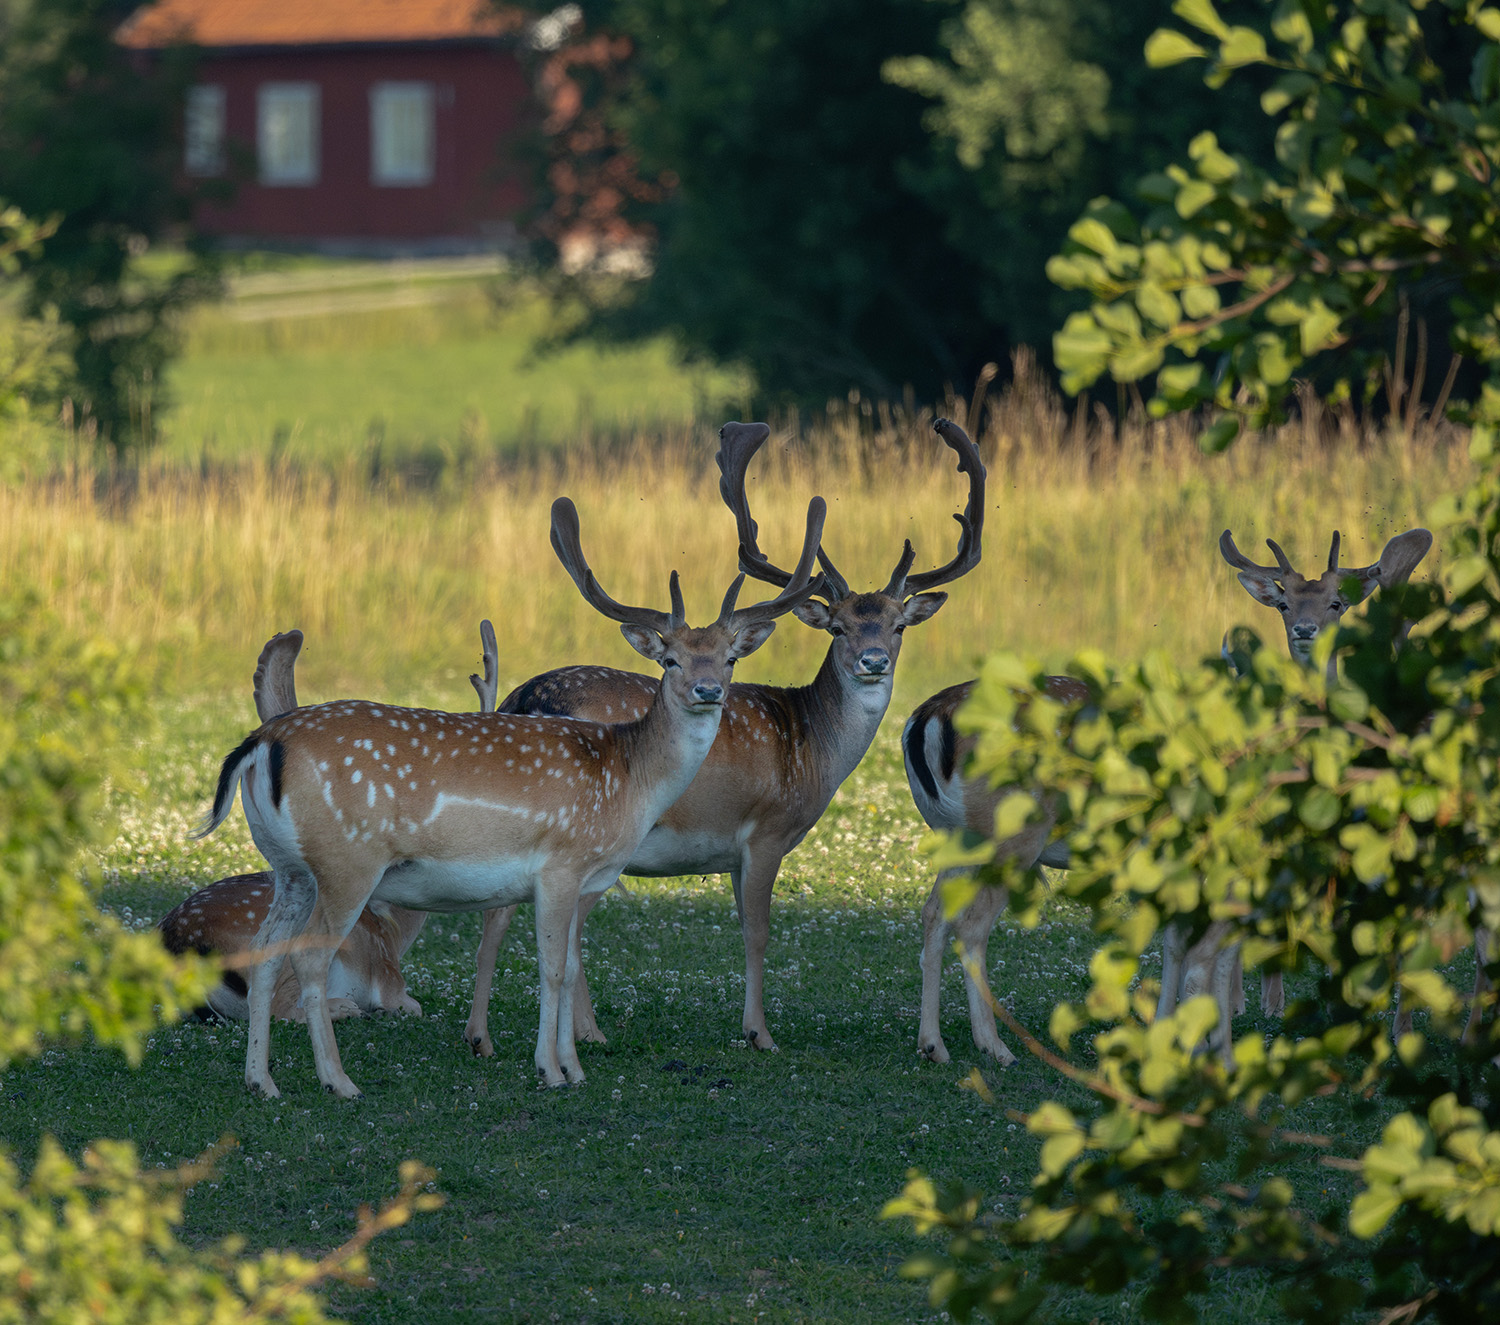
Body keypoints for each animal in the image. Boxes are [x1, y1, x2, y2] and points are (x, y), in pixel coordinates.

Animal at [193, 492, 828, 1092]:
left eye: (729, 658)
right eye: (669, 660)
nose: (708, 690)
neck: (627, 781)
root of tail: (261, 741)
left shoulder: (585, 877)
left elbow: (567, 966)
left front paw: (574, 1068)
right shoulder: (561, 864)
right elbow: (551, 969)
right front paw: (551, 1069)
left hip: (289, 867)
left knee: (268, 955)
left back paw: (262, 1082)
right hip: (347, 862)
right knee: (310, 957)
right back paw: (339, 1081)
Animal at [462, 414, 990, 1056]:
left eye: (897, 626)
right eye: (837, 627)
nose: (873, 661)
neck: (811, 747)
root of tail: (525, 698)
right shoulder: (765, 831)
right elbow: (758, 931)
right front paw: (760, 1032)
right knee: (522, 917)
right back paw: (517, 1036)